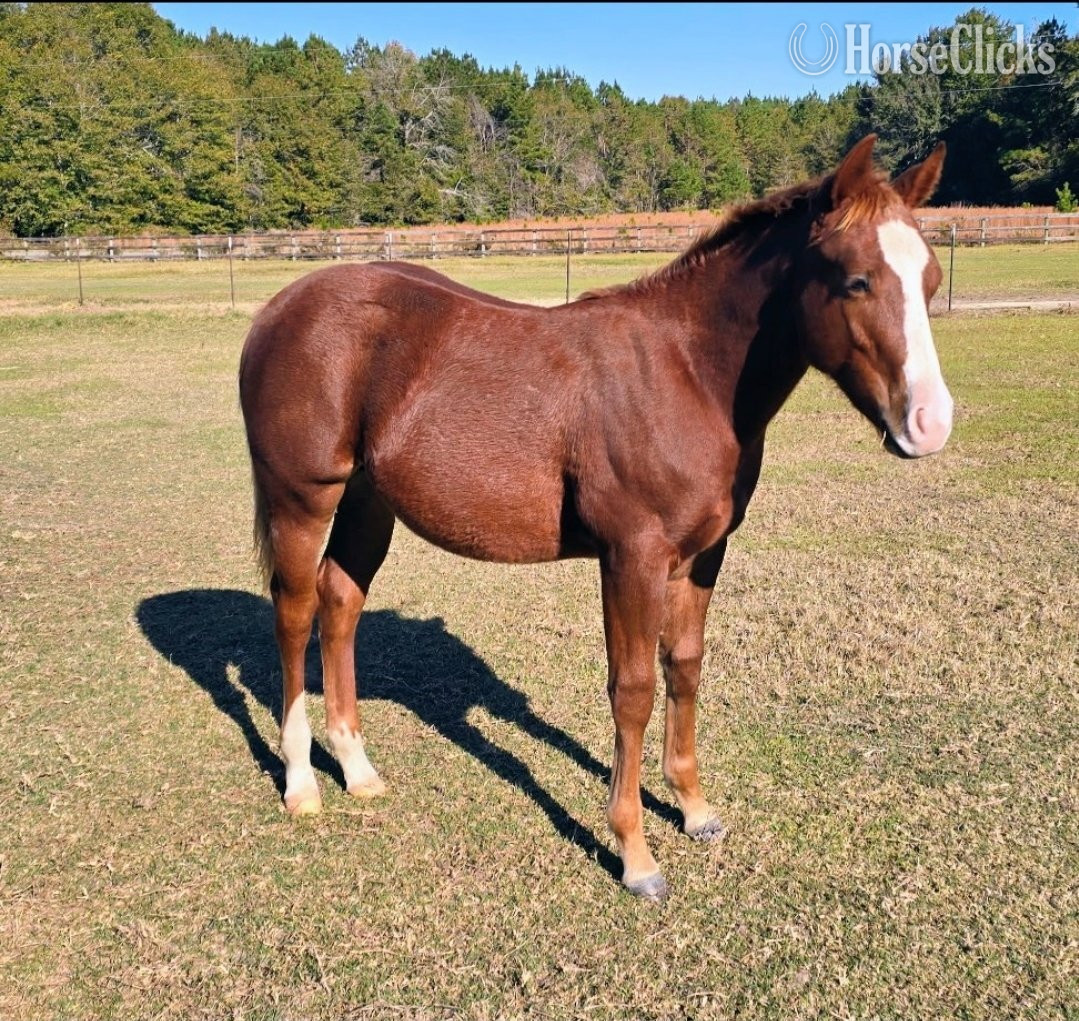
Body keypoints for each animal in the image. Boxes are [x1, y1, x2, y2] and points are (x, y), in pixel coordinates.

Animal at [238, 134, 953, 900]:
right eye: (856, 281)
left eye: (931, 279)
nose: (930, 424)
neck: (686, 373)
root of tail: (279, 308)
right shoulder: (630, 555)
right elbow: (632, 689)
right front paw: (635, 853)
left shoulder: (702, 555)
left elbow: (685, 666)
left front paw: (694, 808)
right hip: (301, 499)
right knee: (294, 612)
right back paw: (302, 782)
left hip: (368, 500)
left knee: (340, 602)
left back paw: (358, 768)